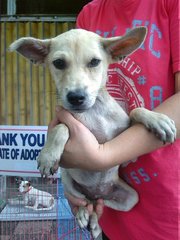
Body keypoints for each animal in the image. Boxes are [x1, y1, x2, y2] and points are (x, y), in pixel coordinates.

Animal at [9, 28, 176, 238]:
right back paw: (84, 215)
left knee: (98, 205)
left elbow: (135, 111)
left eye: (95, 62)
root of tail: (97, 192)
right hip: (68, 181)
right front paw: (48, 156)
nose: (76, 97)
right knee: (86, 202)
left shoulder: (124, 133)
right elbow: (61, 127)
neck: (94, 111)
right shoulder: (64, 121)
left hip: (130, 199)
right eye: (59, 63)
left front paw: (158, 120)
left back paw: (95, 223)